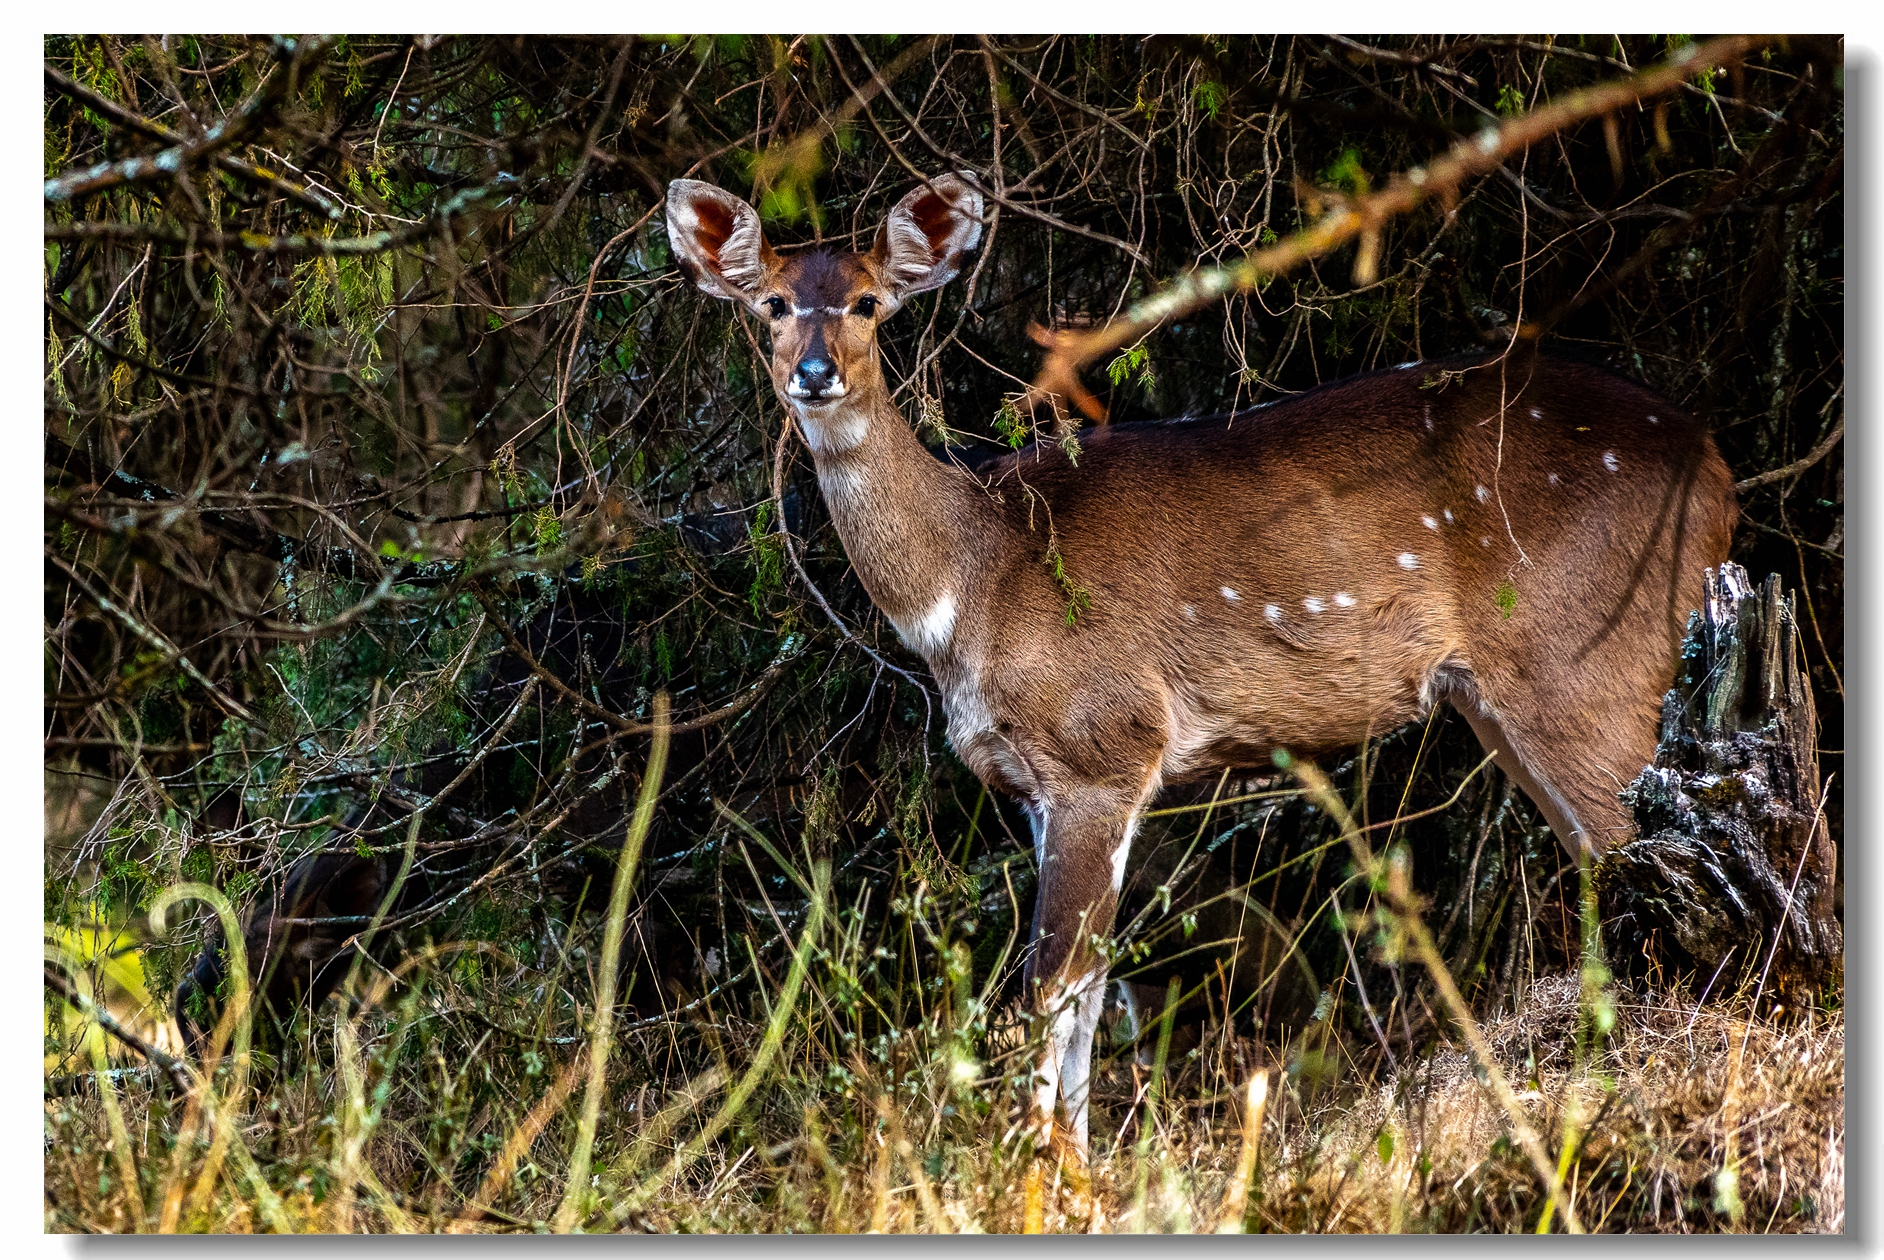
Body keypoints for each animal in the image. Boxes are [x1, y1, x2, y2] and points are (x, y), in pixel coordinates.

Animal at [663, 172, 1733, 1152]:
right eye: (772, 302)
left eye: (868, 302)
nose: (812, 371)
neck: (970, 587)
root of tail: (1717, 472)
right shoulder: (1037, 785)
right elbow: (1097, 989)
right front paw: (1079, 1165)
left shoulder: (1104, 742)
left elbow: (1052, 983)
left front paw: (1040, 1169)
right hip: (1511, 693)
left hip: (1585, 659)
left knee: (1645, 847)